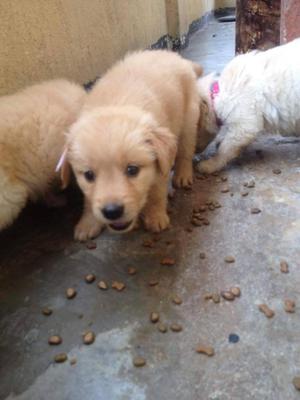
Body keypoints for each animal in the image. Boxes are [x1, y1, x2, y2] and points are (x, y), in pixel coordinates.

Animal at [59, 49, 202, 241]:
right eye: (89, 175)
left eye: (132, 170)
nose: (112, 211)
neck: (115, 105)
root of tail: (174, 55)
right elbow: (88, 200)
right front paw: (88, 223)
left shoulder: (159, 166)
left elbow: (156, 192)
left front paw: (156, 216)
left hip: (188, 119)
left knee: (186, 150)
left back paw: (183, 174)